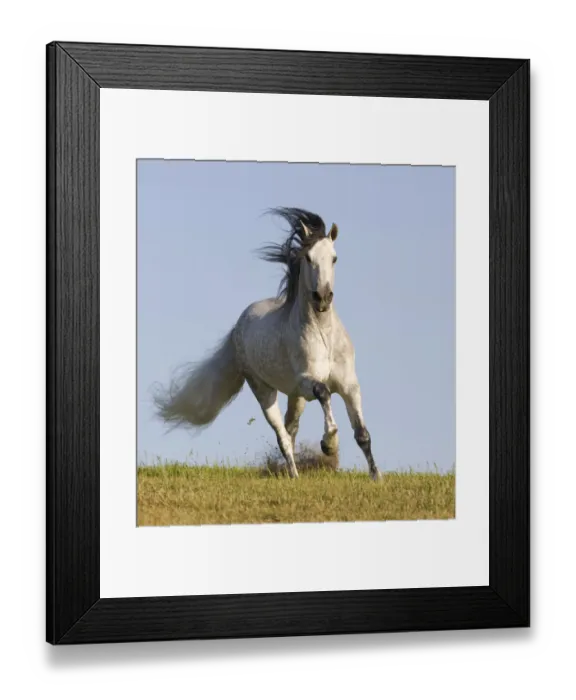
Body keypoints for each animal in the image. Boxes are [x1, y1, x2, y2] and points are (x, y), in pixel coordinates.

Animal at [154, 207, 381, 481]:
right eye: (308, 258)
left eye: (334, 258)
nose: (323, 298)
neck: (323, 335)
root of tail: (239, 326)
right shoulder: (306, 381)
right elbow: (324, 393)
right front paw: (329, 444)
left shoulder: (349, 385)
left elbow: (362, 433)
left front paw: (376, 477)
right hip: (265, 390)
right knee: (282, 435)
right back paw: (294, 475)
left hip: (294, 396)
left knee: (290, 429)